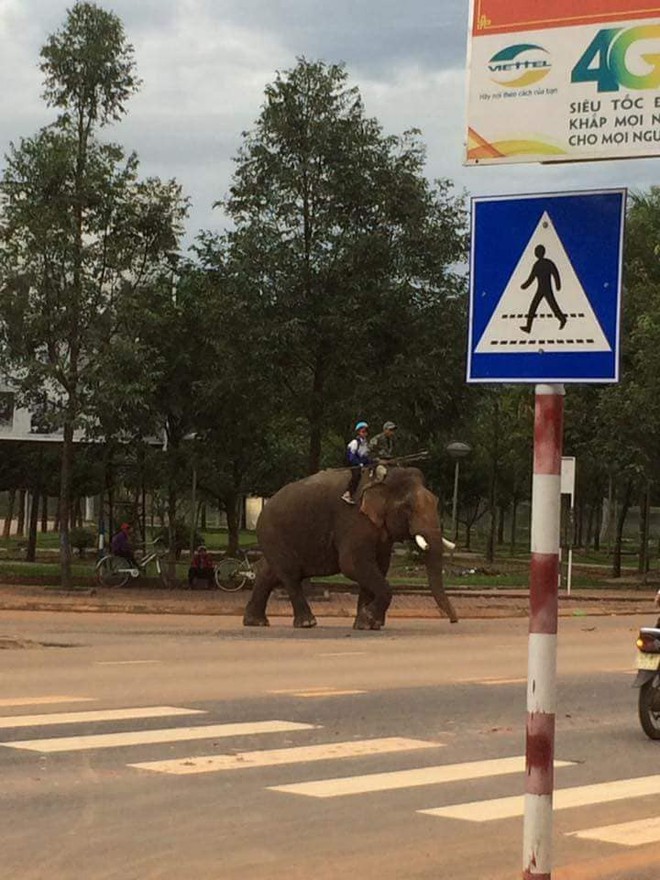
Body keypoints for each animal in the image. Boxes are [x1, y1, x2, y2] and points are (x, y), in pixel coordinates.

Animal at [242, 464, 458, 628]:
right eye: (407, 508)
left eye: (436, 502)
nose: (454, 621)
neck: (384, 478)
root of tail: (263, 508)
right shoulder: (354, 521)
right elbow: (353, 564)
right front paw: (369, 619)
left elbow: (379, 567)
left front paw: (366, 624)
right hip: (274, 535)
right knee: (290, 576)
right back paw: (307, 623)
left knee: (268, 572)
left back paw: (256, 622)